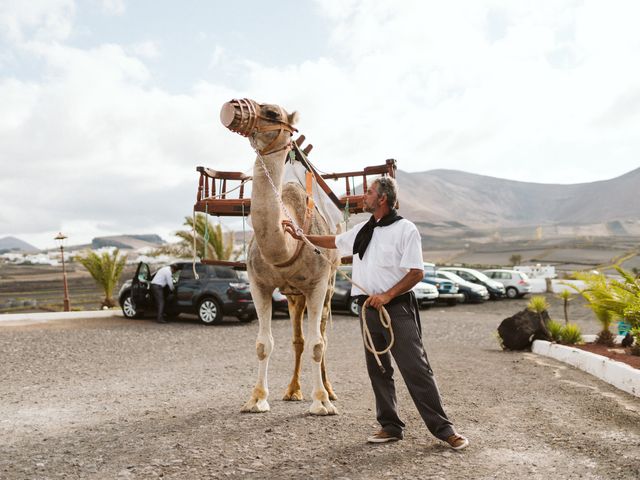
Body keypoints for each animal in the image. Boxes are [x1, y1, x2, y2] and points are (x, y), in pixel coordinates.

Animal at [220, 95, 340, 414]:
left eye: (273, 112)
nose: (231, 107)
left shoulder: (318, 284)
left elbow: (317, 344)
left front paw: (321, 402)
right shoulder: (258, 283)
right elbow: (264, 344)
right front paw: (256, 399)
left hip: (330, 283)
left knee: (323, 334)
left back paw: (329, 390)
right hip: (293, 294)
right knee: (298, 338)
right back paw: (292, 390)